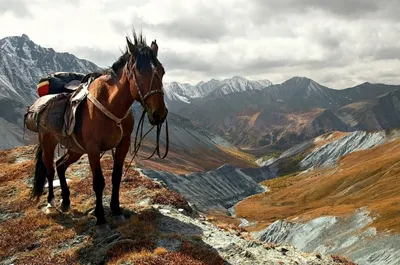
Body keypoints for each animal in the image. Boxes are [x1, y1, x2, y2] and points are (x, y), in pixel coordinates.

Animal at [30, 29, 167, 232]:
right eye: (139, 72)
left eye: (162, 71)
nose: (159, 114)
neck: (111, 104)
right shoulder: (93, 149)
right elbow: (98, 182)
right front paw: (101, 219)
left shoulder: (123, 144)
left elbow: (116, 177)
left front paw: (116, 211)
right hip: (49, 143)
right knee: (49, 168)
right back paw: (51, 204)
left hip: (76, 149)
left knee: (60, 165)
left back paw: (66, 200)